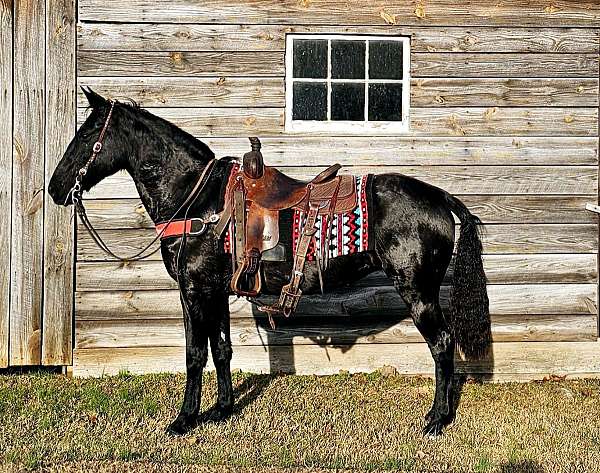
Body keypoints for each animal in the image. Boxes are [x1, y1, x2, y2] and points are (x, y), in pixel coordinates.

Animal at [49, 87, 490, 436]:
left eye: (86, 134)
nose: (55, 188)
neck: (197, 199)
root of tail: (439, 197)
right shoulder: (216, 292)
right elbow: (221, 349)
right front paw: (222, 410)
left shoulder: (193, 291)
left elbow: (194, 355)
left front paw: (184, 420)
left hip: (418, 292)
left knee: (442, 344)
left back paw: (436, 419)